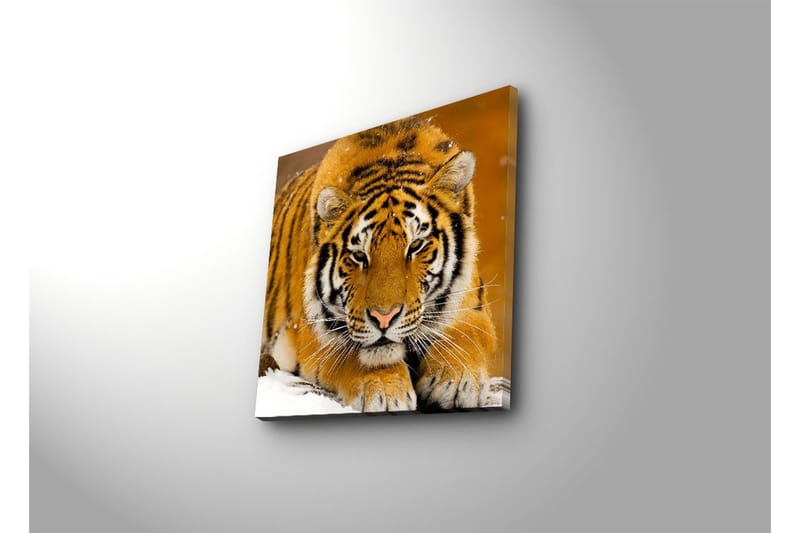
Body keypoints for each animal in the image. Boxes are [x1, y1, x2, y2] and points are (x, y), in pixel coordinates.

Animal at [259, 117, 497, 412]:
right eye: (360, 256)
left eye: (416, 246)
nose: (384, 318)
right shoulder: (313, 331)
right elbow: (354, 351)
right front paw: (384, 390)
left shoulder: (473, 302)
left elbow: (469, 333)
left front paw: (456, 381)